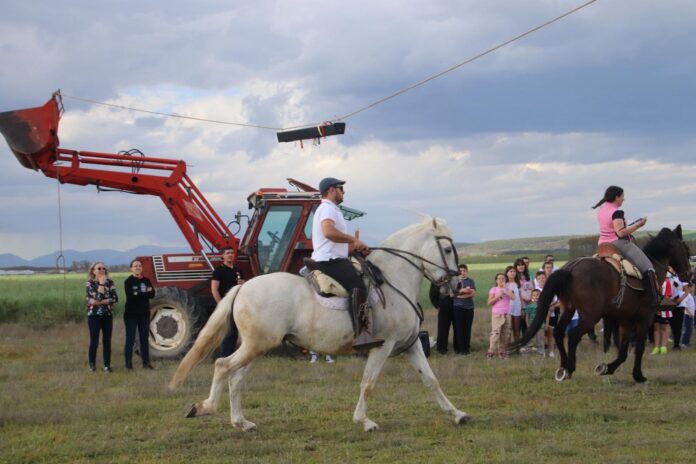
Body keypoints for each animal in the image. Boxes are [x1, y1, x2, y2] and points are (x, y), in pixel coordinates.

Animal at [171, 218, 470, 432]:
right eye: (446, 249)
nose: (456, 285)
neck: (393, 280)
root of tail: (242, 287)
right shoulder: (382, 347)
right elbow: (368, 383)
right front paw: (364, 421)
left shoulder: (410, 344)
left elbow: (431, 380)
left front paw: (457, 414)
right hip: (256, 346)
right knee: (223, 366)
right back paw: (205, 408)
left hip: (257, 347)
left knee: (235, 378)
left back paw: (241, 423)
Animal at [512, 227, 692, 382]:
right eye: (685, 249)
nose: (689, 275)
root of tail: (571, 268)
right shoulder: (644, 319)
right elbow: (638, 348)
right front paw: (638, 375)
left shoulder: (626, 320)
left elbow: (623, 350)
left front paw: (606, 368)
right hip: (591, 316)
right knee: (573, 335)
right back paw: (569, 368)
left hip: (568, 308)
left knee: (559, 332)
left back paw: (562, 367)